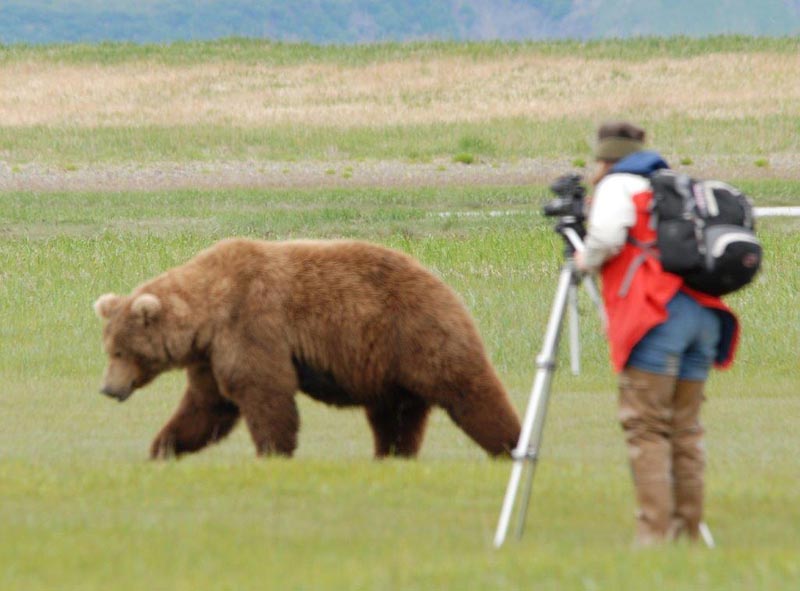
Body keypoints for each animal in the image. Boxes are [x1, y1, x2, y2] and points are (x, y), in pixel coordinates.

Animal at [94, 238, 521, 460]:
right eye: (109, 348)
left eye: (119, 352)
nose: (108, 388)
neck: (207, 313)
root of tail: (442, 283)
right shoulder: (211, 354)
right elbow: (207, 406)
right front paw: (163, 448)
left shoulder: (251, 324)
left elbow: (265, 392)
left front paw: (273, 453)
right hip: (386, 367)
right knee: (396, 416)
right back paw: (391, 456)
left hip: (416, 332)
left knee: (468, 390)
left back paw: (511, 444)